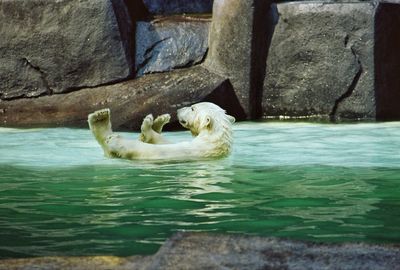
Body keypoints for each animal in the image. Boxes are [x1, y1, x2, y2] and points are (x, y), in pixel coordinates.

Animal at [87, 102, 236, 159]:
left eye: (193, 108)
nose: (179, 109)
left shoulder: (191, 150)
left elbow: (154, 149)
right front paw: (153, 124)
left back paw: (100, 119)